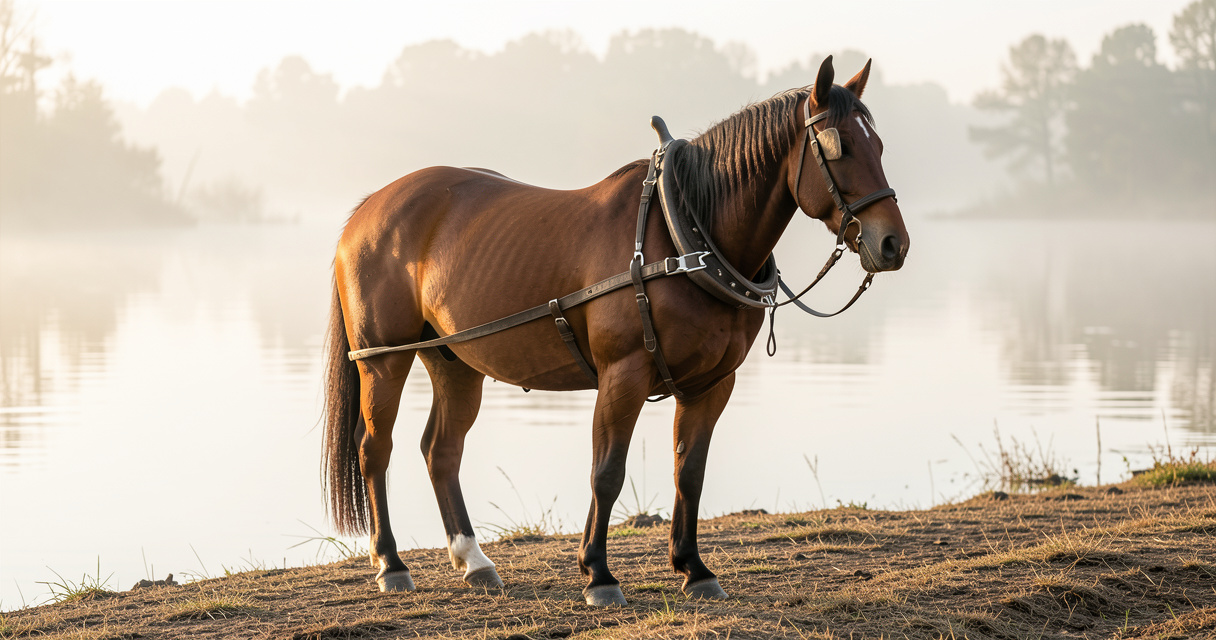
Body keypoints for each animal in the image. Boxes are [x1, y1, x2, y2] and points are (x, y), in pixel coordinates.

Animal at [322, 55, 909, 606]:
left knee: (441, 450)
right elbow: (607, 472)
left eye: (879, 144)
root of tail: (367, 210)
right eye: (838, 148)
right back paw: (391, 564)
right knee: (374, 449)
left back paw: (473, 560)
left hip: (456, 363)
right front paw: (599, 575)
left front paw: (694, 569)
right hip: (383, 359)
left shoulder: (712, 384)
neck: (681, 234)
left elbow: (689, 474)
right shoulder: (623, 374)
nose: (892, 244)